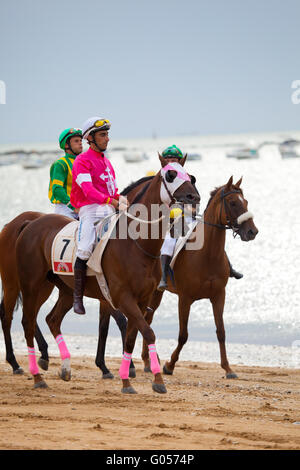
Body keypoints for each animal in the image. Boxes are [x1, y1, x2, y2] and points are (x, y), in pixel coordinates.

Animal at [8, 160, 199, 392]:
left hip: (62, 288)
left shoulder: (141, 299)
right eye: (171, 175)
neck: (136, 244)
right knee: (27, 321)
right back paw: (36, 376)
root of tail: (29, 223)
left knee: (51, 319)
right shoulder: (122, 297)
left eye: (190, 176)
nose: (194, 197)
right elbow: (146, 331)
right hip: (31, 285)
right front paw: (157, 379)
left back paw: (64, 367)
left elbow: (131, 336)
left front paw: (126, 379)